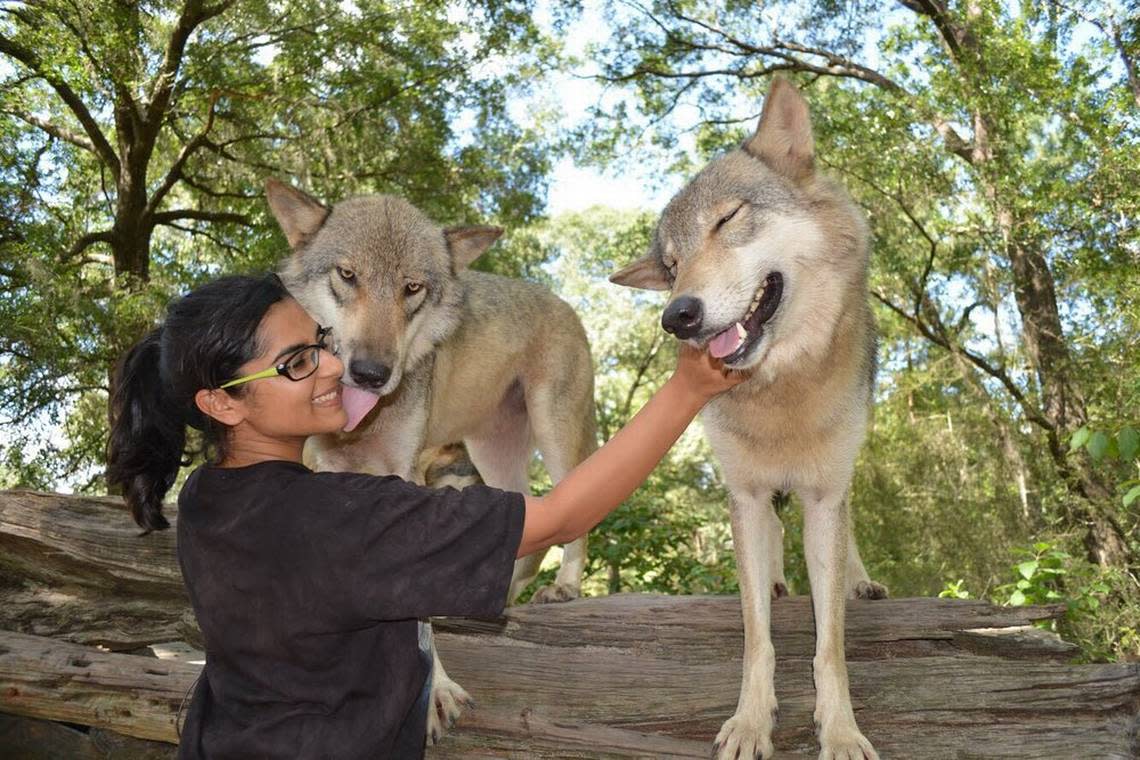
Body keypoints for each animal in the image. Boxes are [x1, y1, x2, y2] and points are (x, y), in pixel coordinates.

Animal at [265, 180, 597, 742]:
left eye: (412, 288)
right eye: (348, 275)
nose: (371, 373)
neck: (361, 423)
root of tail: (564, 304)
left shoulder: (404, 476)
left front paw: (434, 692)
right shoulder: (318, 470)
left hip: (554, 432)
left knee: (577, 507)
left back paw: (565, 587)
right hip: (492, 453)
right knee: (529, 512)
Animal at [611, 78, 884, 760]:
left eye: (728, 219)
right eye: (671, 265)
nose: (677, 316)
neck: (779, 387)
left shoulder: (824, 496)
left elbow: (829, 645)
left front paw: (841, 731)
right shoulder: (747, 496)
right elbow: (756, 635)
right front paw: (751, 722)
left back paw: (859, 582)